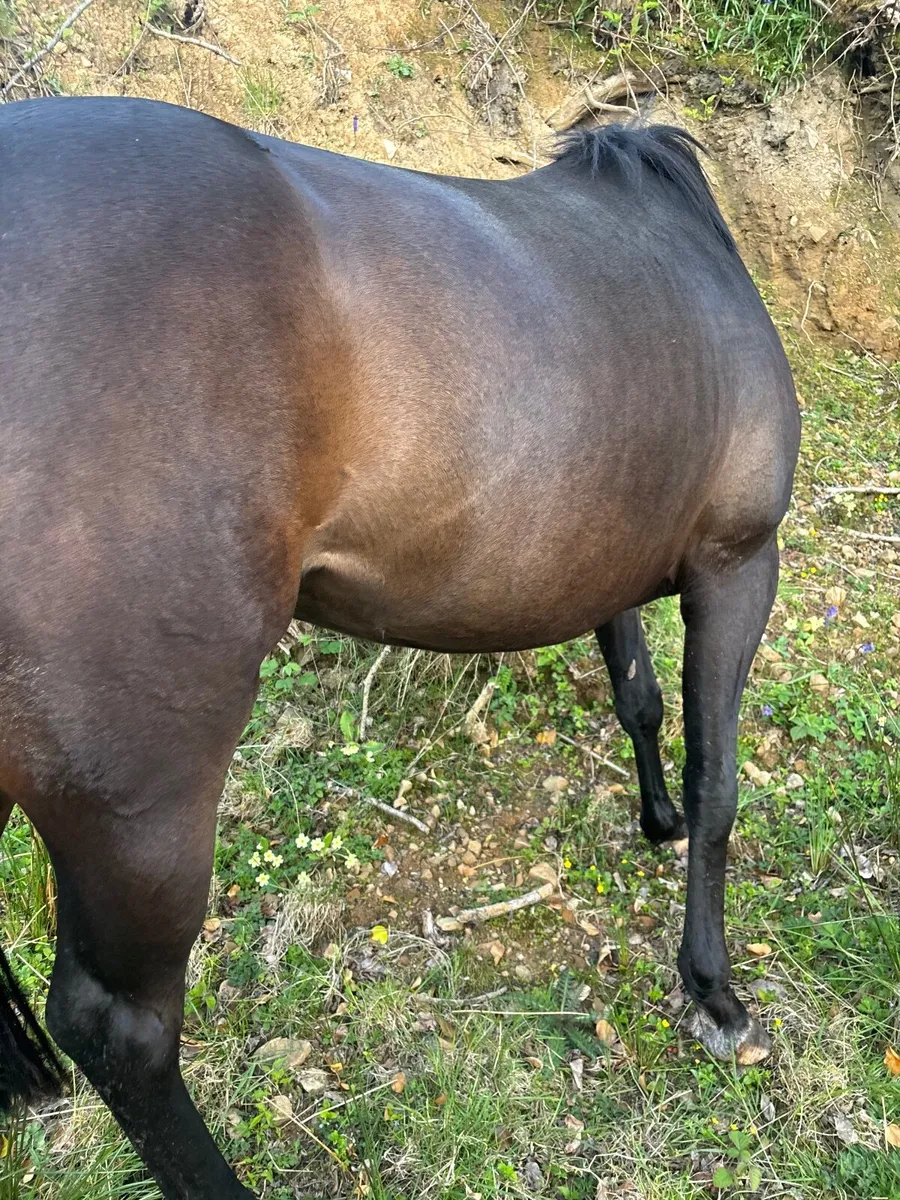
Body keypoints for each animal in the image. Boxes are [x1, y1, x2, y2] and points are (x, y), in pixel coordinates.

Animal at [0, 95, 800, 1199]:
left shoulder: (614, 561)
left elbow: (637, 698)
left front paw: (656, 817)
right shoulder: (738, 564)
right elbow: (720, 782)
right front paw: (714, 991)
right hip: (140, 808)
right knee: (121, 1029)